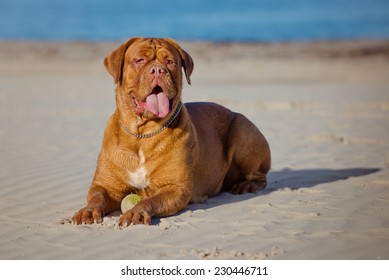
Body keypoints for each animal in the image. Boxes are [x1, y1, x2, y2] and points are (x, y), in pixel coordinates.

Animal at [71, 37, 270, 226]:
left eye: (170, 62)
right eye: (139, 60)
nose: (158, 70)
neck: (142, 134)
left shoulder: (175, 188)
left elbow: (150, 200)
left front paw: (136, 212)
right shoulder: (105, 186)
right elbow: (97, 197)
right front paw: (87, 211)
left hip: (242, 130)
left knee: (260, 175)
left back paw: (247, 185)